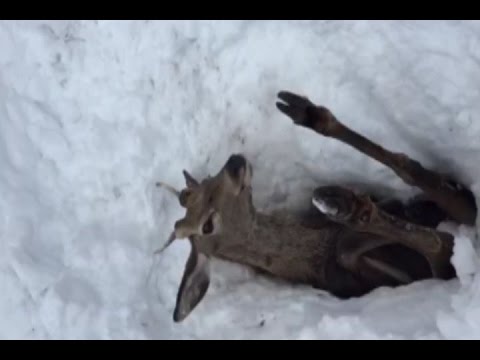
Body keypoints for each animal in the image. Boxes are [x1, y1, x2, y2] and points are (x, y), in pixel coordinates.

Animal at [156, 90, 478, 324]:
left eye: (201, 183)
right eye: (207, 225)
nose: (234, 164)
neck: (313, 249)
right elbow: (356, 248)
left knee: (425, 182)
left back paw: (307, 113)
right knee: (445, 236)